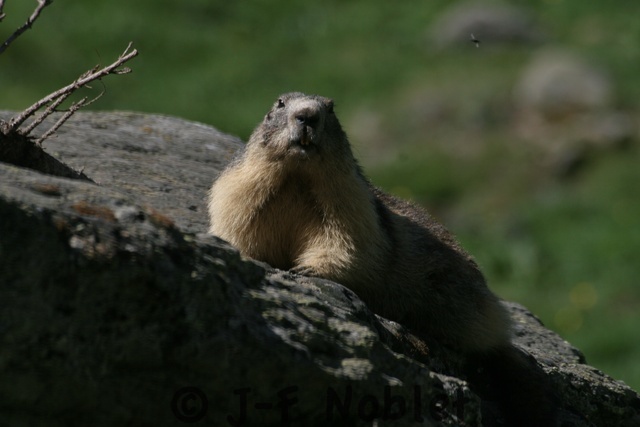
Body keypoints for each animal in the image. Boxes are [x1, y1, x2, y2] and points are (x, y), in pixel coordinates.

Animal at [208, 92, 556, 426]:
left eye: (331, 108)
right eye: (280, 104)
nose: (308, 115)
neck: (297, 177)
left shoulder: (352, 202)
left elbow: (346, 241)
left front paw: (305, 268)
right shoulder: (240, 191)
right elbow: (238, 227)